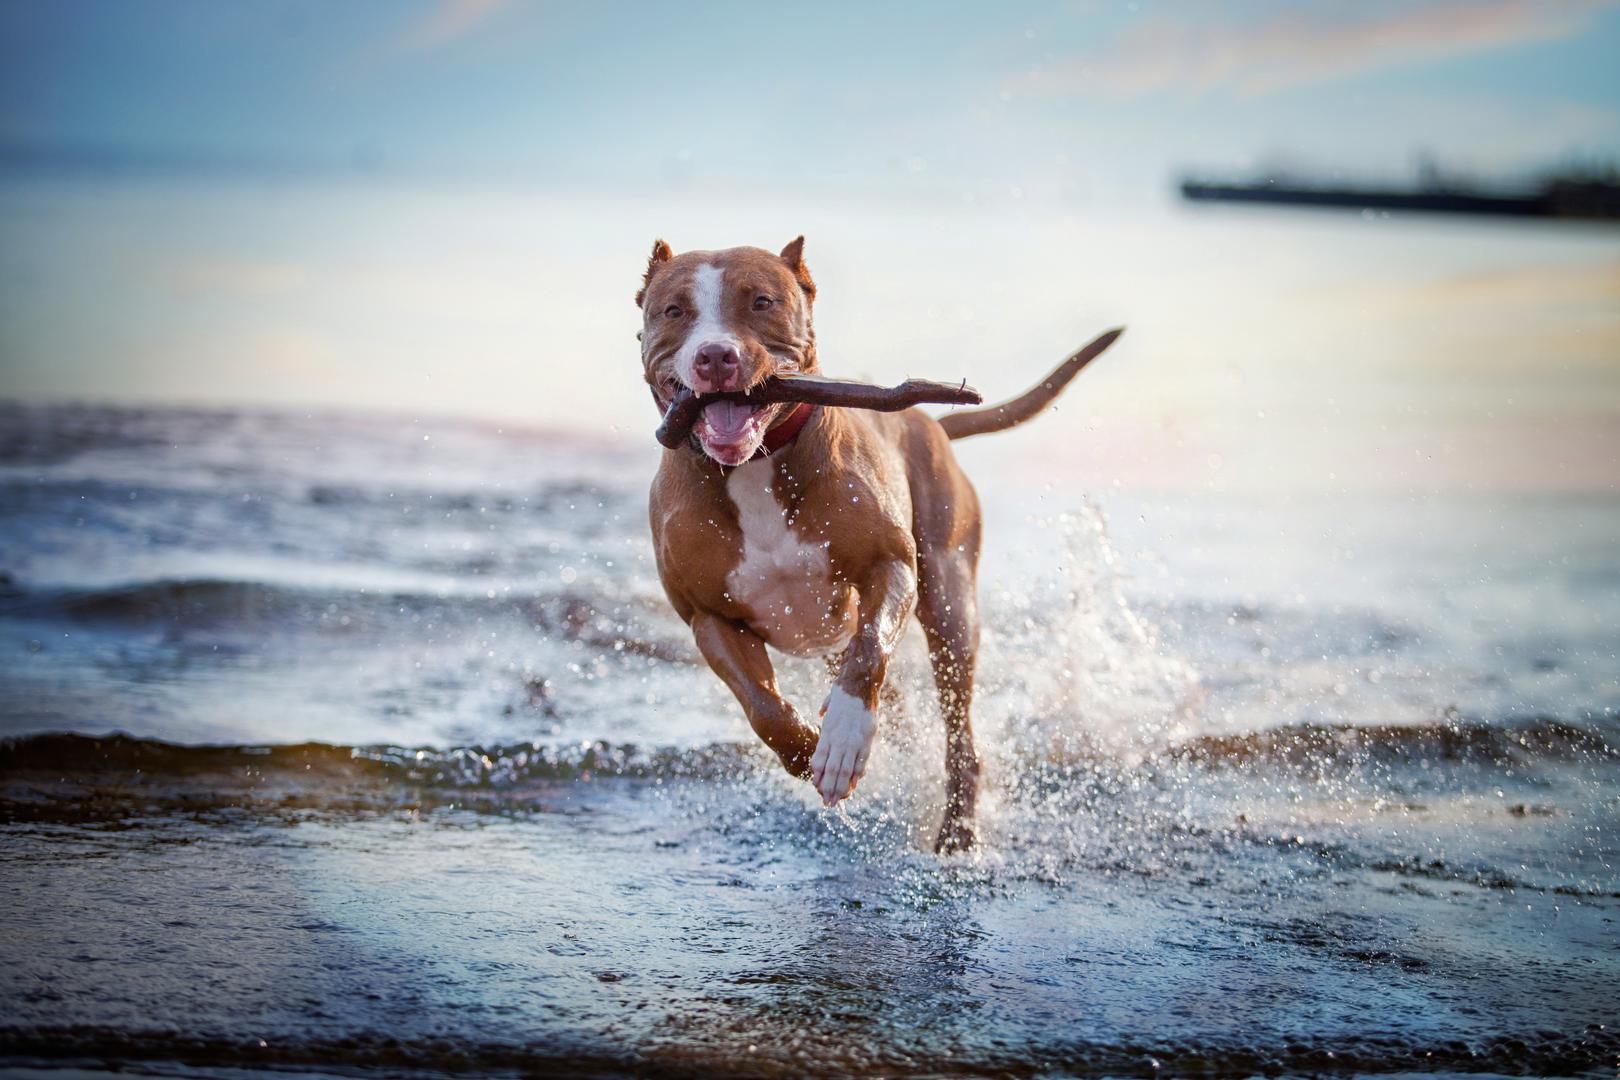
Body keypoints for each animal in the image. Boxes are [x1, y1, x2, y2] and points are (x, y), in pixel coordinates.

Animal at [635, 236, 1114, 854]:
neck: (755, 465)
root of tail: (928, 422)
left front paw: (842, 738)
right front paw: (807, 747)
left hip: (950, 602)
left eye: (762, 301)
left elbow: (869, 654)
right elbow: (763, 707)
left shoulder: (890, 567)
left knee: (959, 729)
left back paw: (957, 832)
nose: (716, 356)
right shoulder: (709, 616)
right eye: (674, 311)